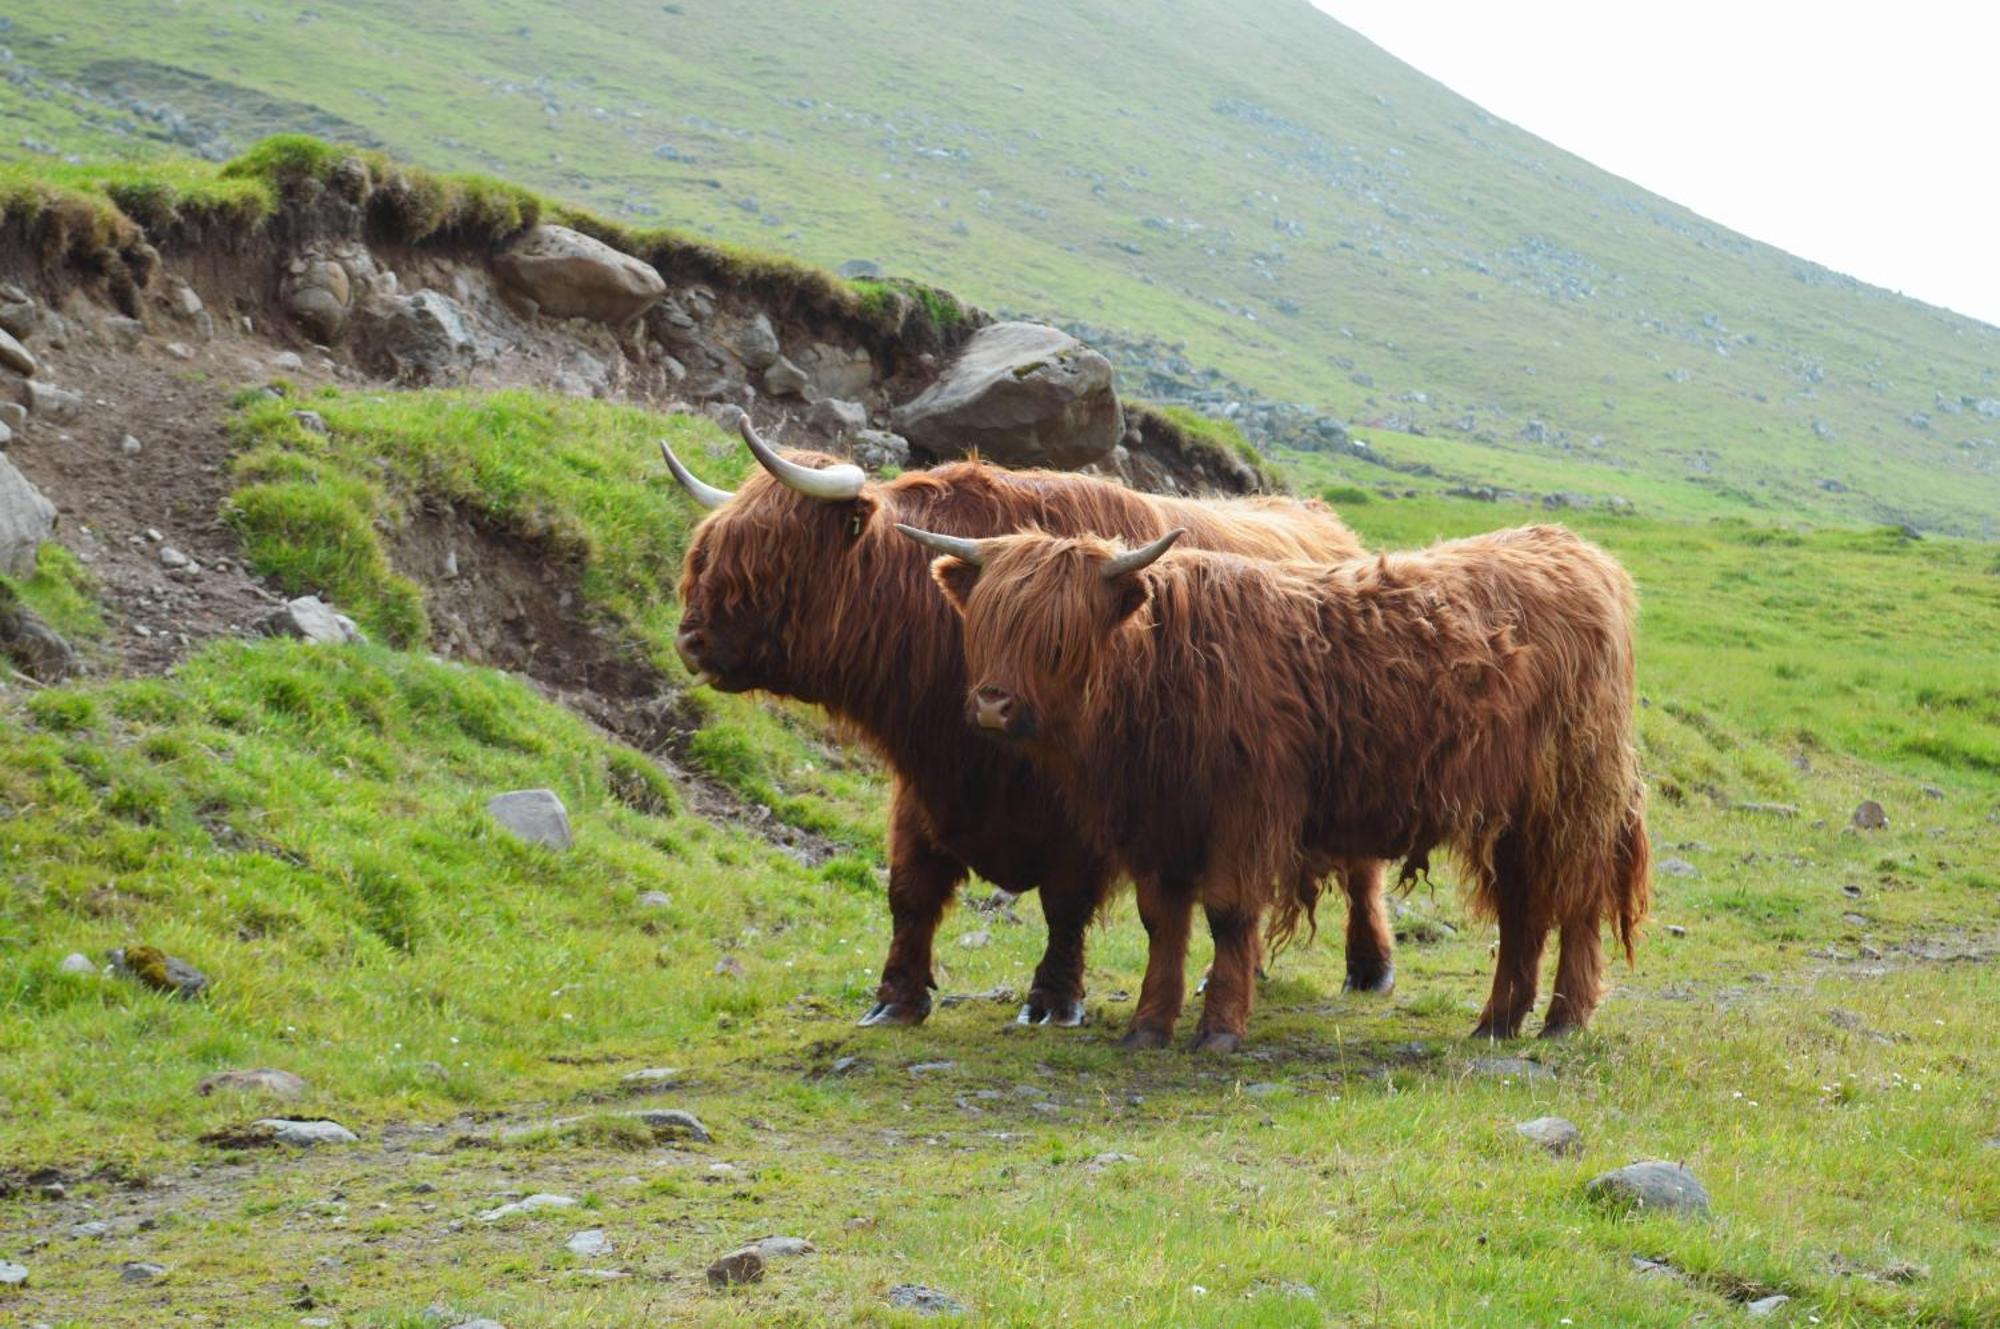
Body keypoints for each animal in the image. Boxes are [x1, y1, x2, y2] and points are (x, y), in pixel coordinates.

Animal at [664, 418, 1384, 1024]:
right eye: (705, 548)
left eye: (770, 549)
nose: (690, 640)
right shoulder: (923, 786)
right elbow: (909, 891)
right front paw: (895, 998)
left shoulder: (1081, 812)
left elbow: (1064, 901)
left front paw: (1052, 1000)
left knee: (1362, 872)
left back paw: (1370, 968)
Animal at [900, 520, 1648, 1048]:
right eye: (986, 621)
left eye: (1058, 637)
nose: (992, 705)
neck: (1157, 674)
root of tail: (1579, 552)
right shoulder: (1157, 825)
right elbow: (1162, 923)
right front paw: (1147, 1025)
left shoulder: (1247, 811)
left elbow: (1230, 915)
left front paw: (1219, 1027)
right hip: (1515, 815)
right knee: (1525, 909)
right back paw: (1497, 1021)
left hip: (1571, 798)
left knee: (1576, 902)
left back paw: (1563, 1019)